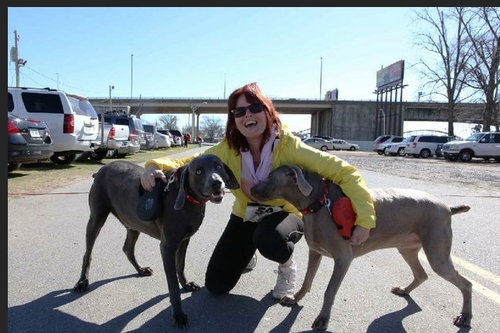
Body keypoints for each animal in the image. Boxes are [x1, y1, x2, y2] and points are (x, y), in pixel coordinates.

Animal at [73, 154, 240, 328]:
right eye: (199, 171)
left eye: (218, 166)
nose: (216, 182)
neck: (187, 198)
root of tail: (101, 169)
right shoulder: (167, 247)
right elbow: (172, 285)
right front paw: (178, 315)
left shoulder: (184, 240)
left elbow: (181, 266)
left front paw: (186, 285)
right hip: (96, 218)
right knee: (88, 252)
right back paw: (82, 281)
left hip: (134, 223)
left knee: (127, 248)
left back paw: (141, 270)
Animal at [250, 163, 472, 330]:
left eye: (270, 176)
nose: (251, 188)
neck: (319, 203)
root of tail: (448, 208)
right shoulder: (315, 252)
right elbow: (307, 280)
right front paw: (295, 298)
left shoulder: (343, 258)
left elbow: (329, 291)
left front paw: (322, 319)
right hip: (407, 248)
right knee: (422, 274)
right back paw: (404, 290)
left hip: (437, 254)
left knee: (466, 283)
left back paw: (465, 317)